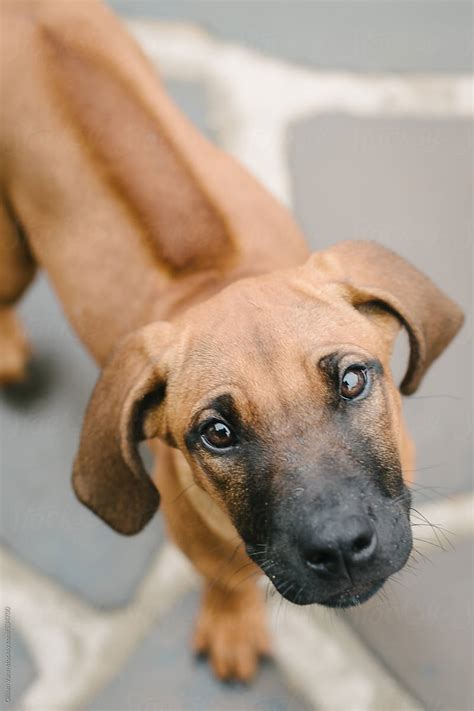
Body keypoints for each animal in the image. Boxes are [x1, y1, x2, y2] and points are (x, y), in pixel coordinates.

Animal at [0, 0, 462, 684]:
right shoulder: (197, 534)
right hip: (13, 251)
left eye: (353, 380)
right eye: (216, 433)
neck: (220, 280)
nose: (340, 548)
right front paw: (233, 624)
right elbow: (227, 578)